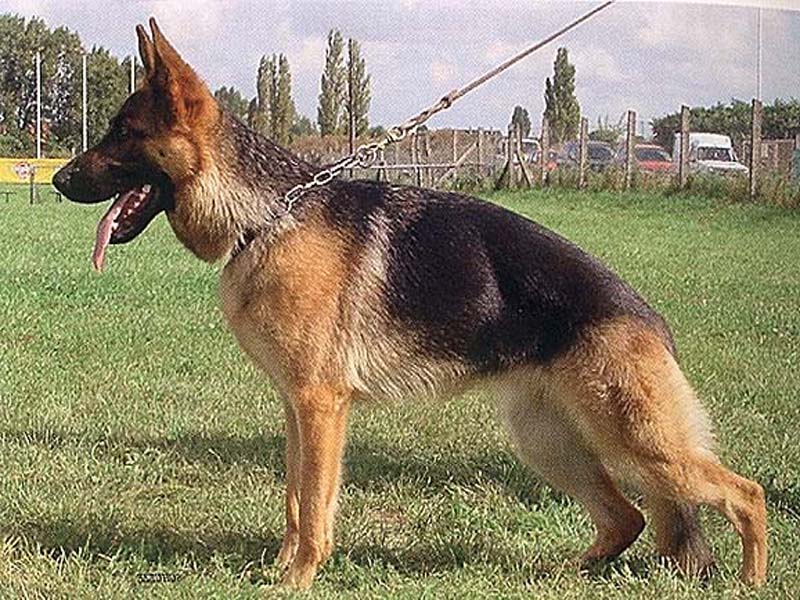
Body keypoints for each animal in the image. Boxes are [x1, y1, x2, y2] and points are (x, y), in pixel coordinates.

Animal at [53, 19, 767, 590]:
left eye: (122, 133)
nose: (56, 180)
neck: (268, 216)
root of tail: (649, 316)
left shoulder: (321, 406)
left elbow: (313, 504)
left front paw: (297, 580)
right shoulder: (296, 408)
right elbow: (293, 501)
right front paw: (281, 568)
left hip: (640, 441)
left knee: (745, 494)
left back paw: (750, 581)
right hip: (546, 441)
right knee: (628, 516)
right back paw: (564, 571)